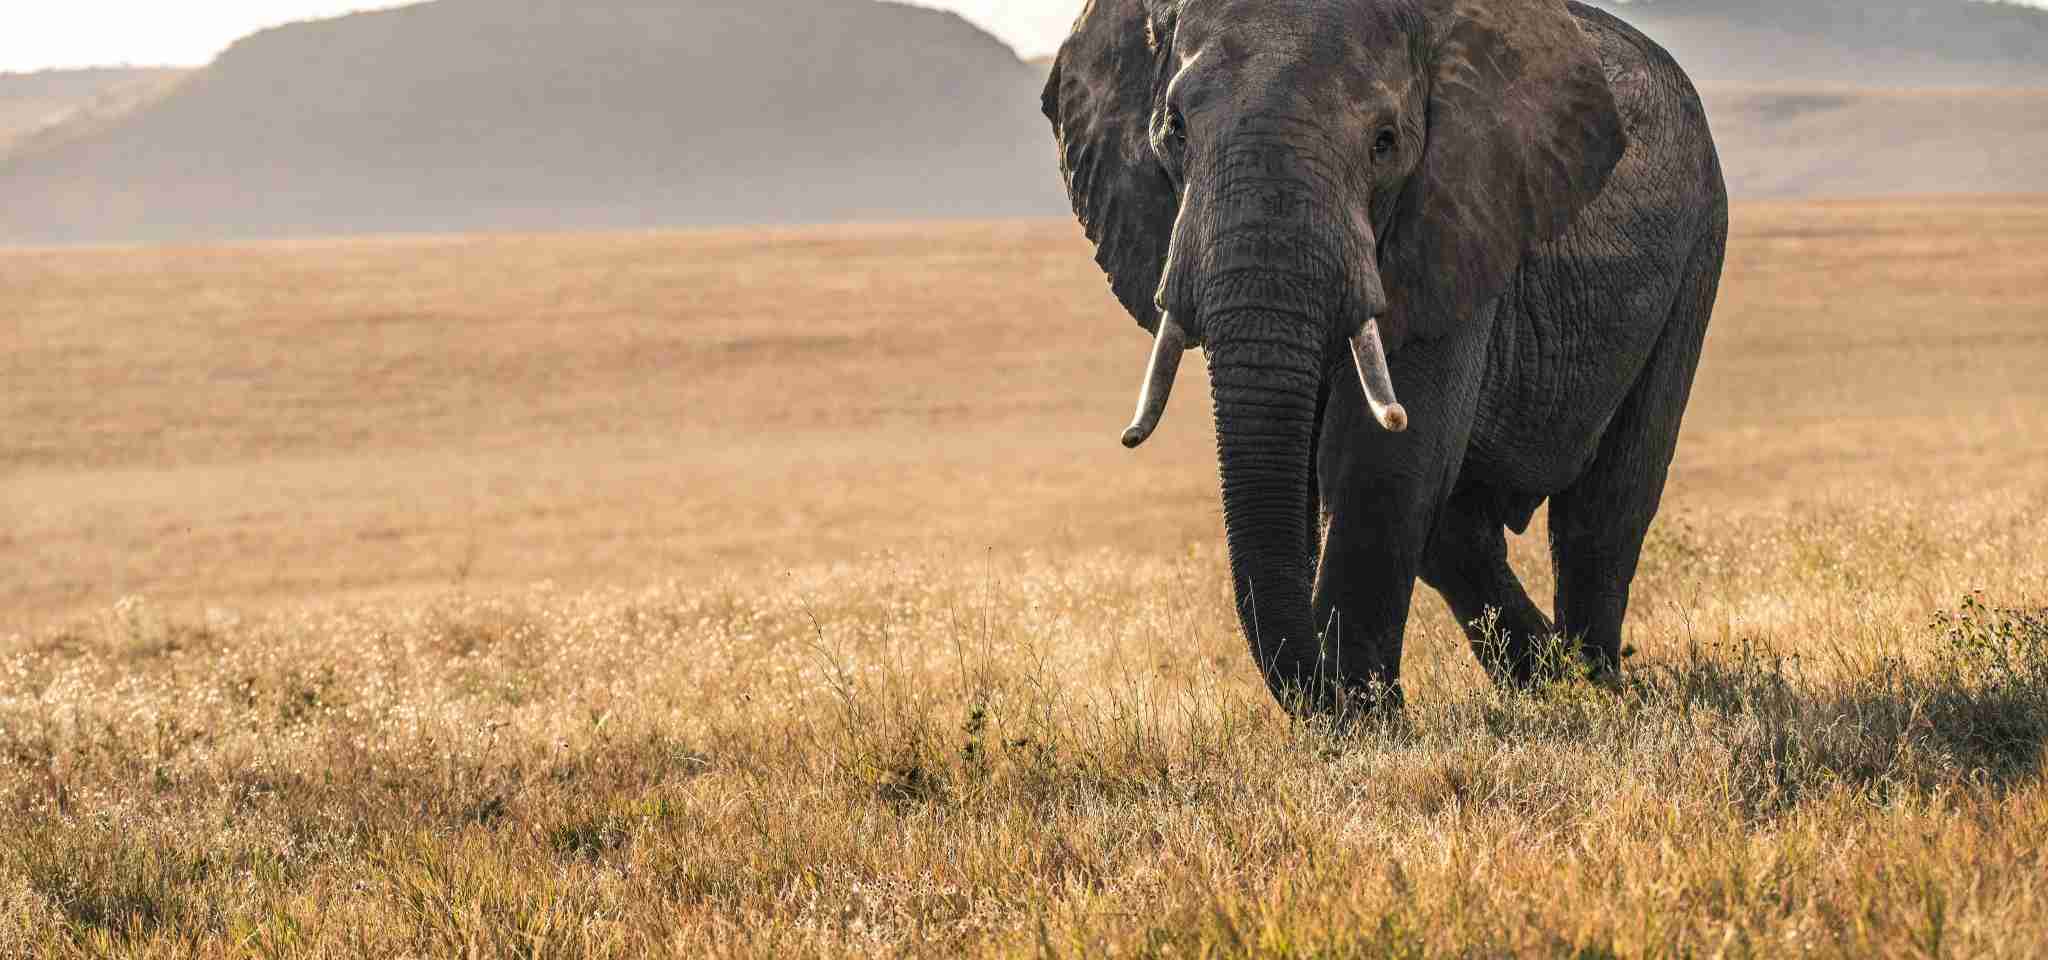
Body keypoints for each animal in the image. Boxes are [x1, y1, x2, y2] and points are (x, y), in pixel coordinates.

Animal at [1043, 0, 1727, 715]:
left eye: (1385, 142)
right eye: (1174, 131)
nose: (1328, 691)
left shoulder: (1456, 218)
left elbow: (1379, 460)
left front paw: (1364, 720)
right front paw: (1359, 711)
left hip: (1699, 245)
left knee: (1605, 508)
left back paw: (1596, 690)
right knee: (1460, 532)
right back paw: (1549, 681)